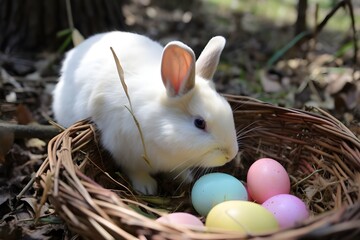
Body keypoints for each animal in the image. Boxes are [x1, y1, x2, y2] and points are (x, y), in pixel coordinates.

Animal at [52, 31, 239, 194]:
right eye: (199, 123)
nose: (231, 155)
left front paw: (185, 178)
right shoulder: (125, 152)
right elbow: (135, 171)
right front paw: (147, 187)